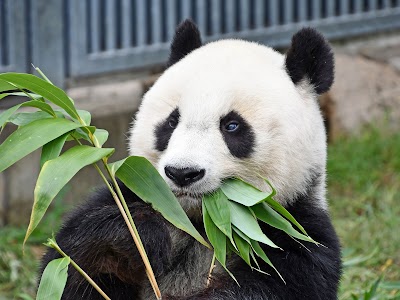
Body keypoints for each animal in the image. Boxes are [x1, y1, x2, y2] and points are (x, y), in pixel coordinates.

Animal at [39, 19, 340, 298]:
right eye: (172, 122)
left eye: (232, 126)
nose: (182, 172)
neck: (199, 223)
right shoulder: (131, 196)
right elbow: (69, 268)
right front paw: (138, 234)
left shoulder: (298, 237)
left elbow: (271, 285)